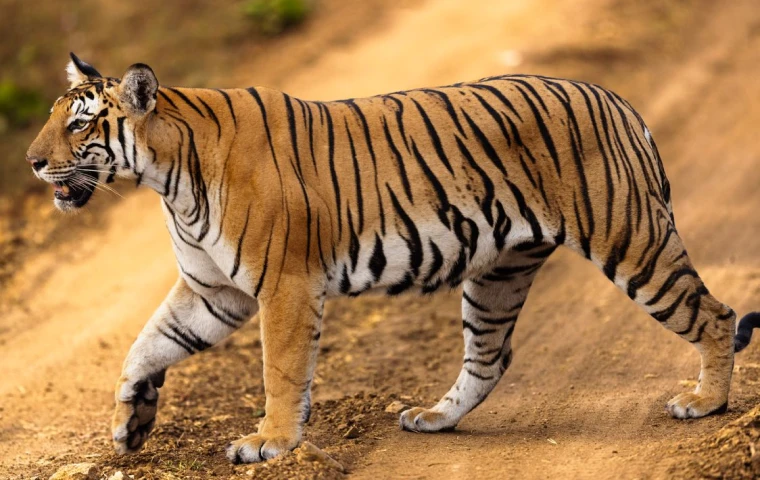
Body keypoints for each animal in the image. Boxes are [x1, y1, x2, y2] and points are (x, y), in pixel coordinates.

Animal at [26, 53, 760, 464]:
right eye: (55, 117)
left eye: (80, 123)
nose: (31, 162)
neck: (166, 178)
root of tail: (615, 100)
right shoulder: (212, 291)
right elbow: (145, 346)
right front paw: (129, 425)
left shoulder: (282, 285)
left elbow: (280, 371)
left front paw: (270, 443)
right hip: (499, 272)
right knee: (490, 358)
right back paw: (434, 418)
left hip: (632, 240)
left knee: (715, 314)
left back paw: (705, 403)